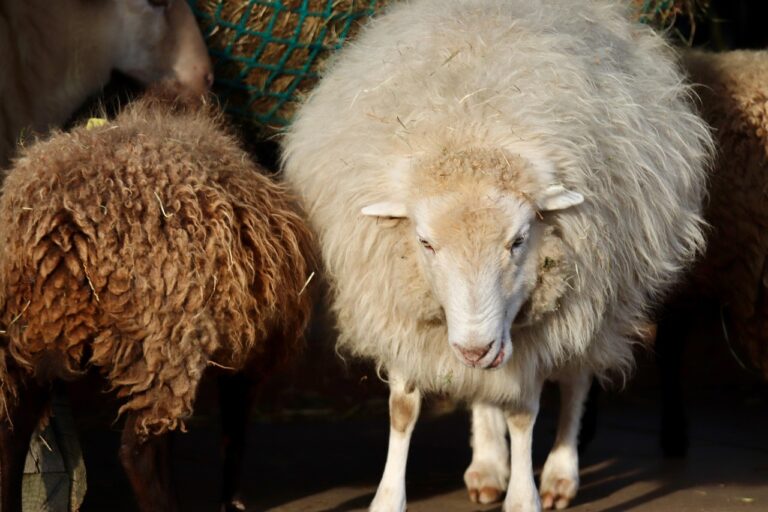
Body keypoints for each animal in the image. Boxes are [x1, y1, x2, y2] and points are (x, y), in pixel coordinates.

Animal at [0, 89, 316, 512]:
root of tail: (60, 226)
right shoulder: (251, 356)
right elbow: (234, 434)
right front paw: (231, 501)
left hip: (30, 337)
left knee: (12, 433)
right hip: (164, 340)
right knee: (138, 452)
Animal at [281, 1, 713, 510]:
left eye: (519, 240)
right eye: (425, 243)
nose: (473, 348)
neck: (470, 128)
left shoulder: (541, 323)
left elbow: (524, 412)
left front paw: (525, 497)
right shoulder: (400, 309)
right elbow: (404, 409)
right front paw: (388, 498)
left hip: (596, 297)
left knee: (576, 378)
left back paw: (560, 473)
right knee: (489, 387)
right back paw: (488, 463)